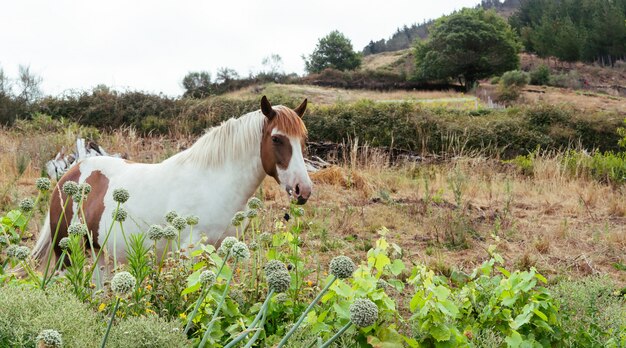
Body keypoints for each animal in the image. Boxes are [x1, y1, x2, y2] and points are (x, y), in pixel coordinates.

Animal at [30, 95, 310, 264]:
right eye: (276, 139)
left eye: (303, 139)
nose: (303, 190)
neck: (215, 183)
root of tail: (69, 176)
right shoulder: (190, 251)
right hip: (67, 252)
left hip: (99, 253)